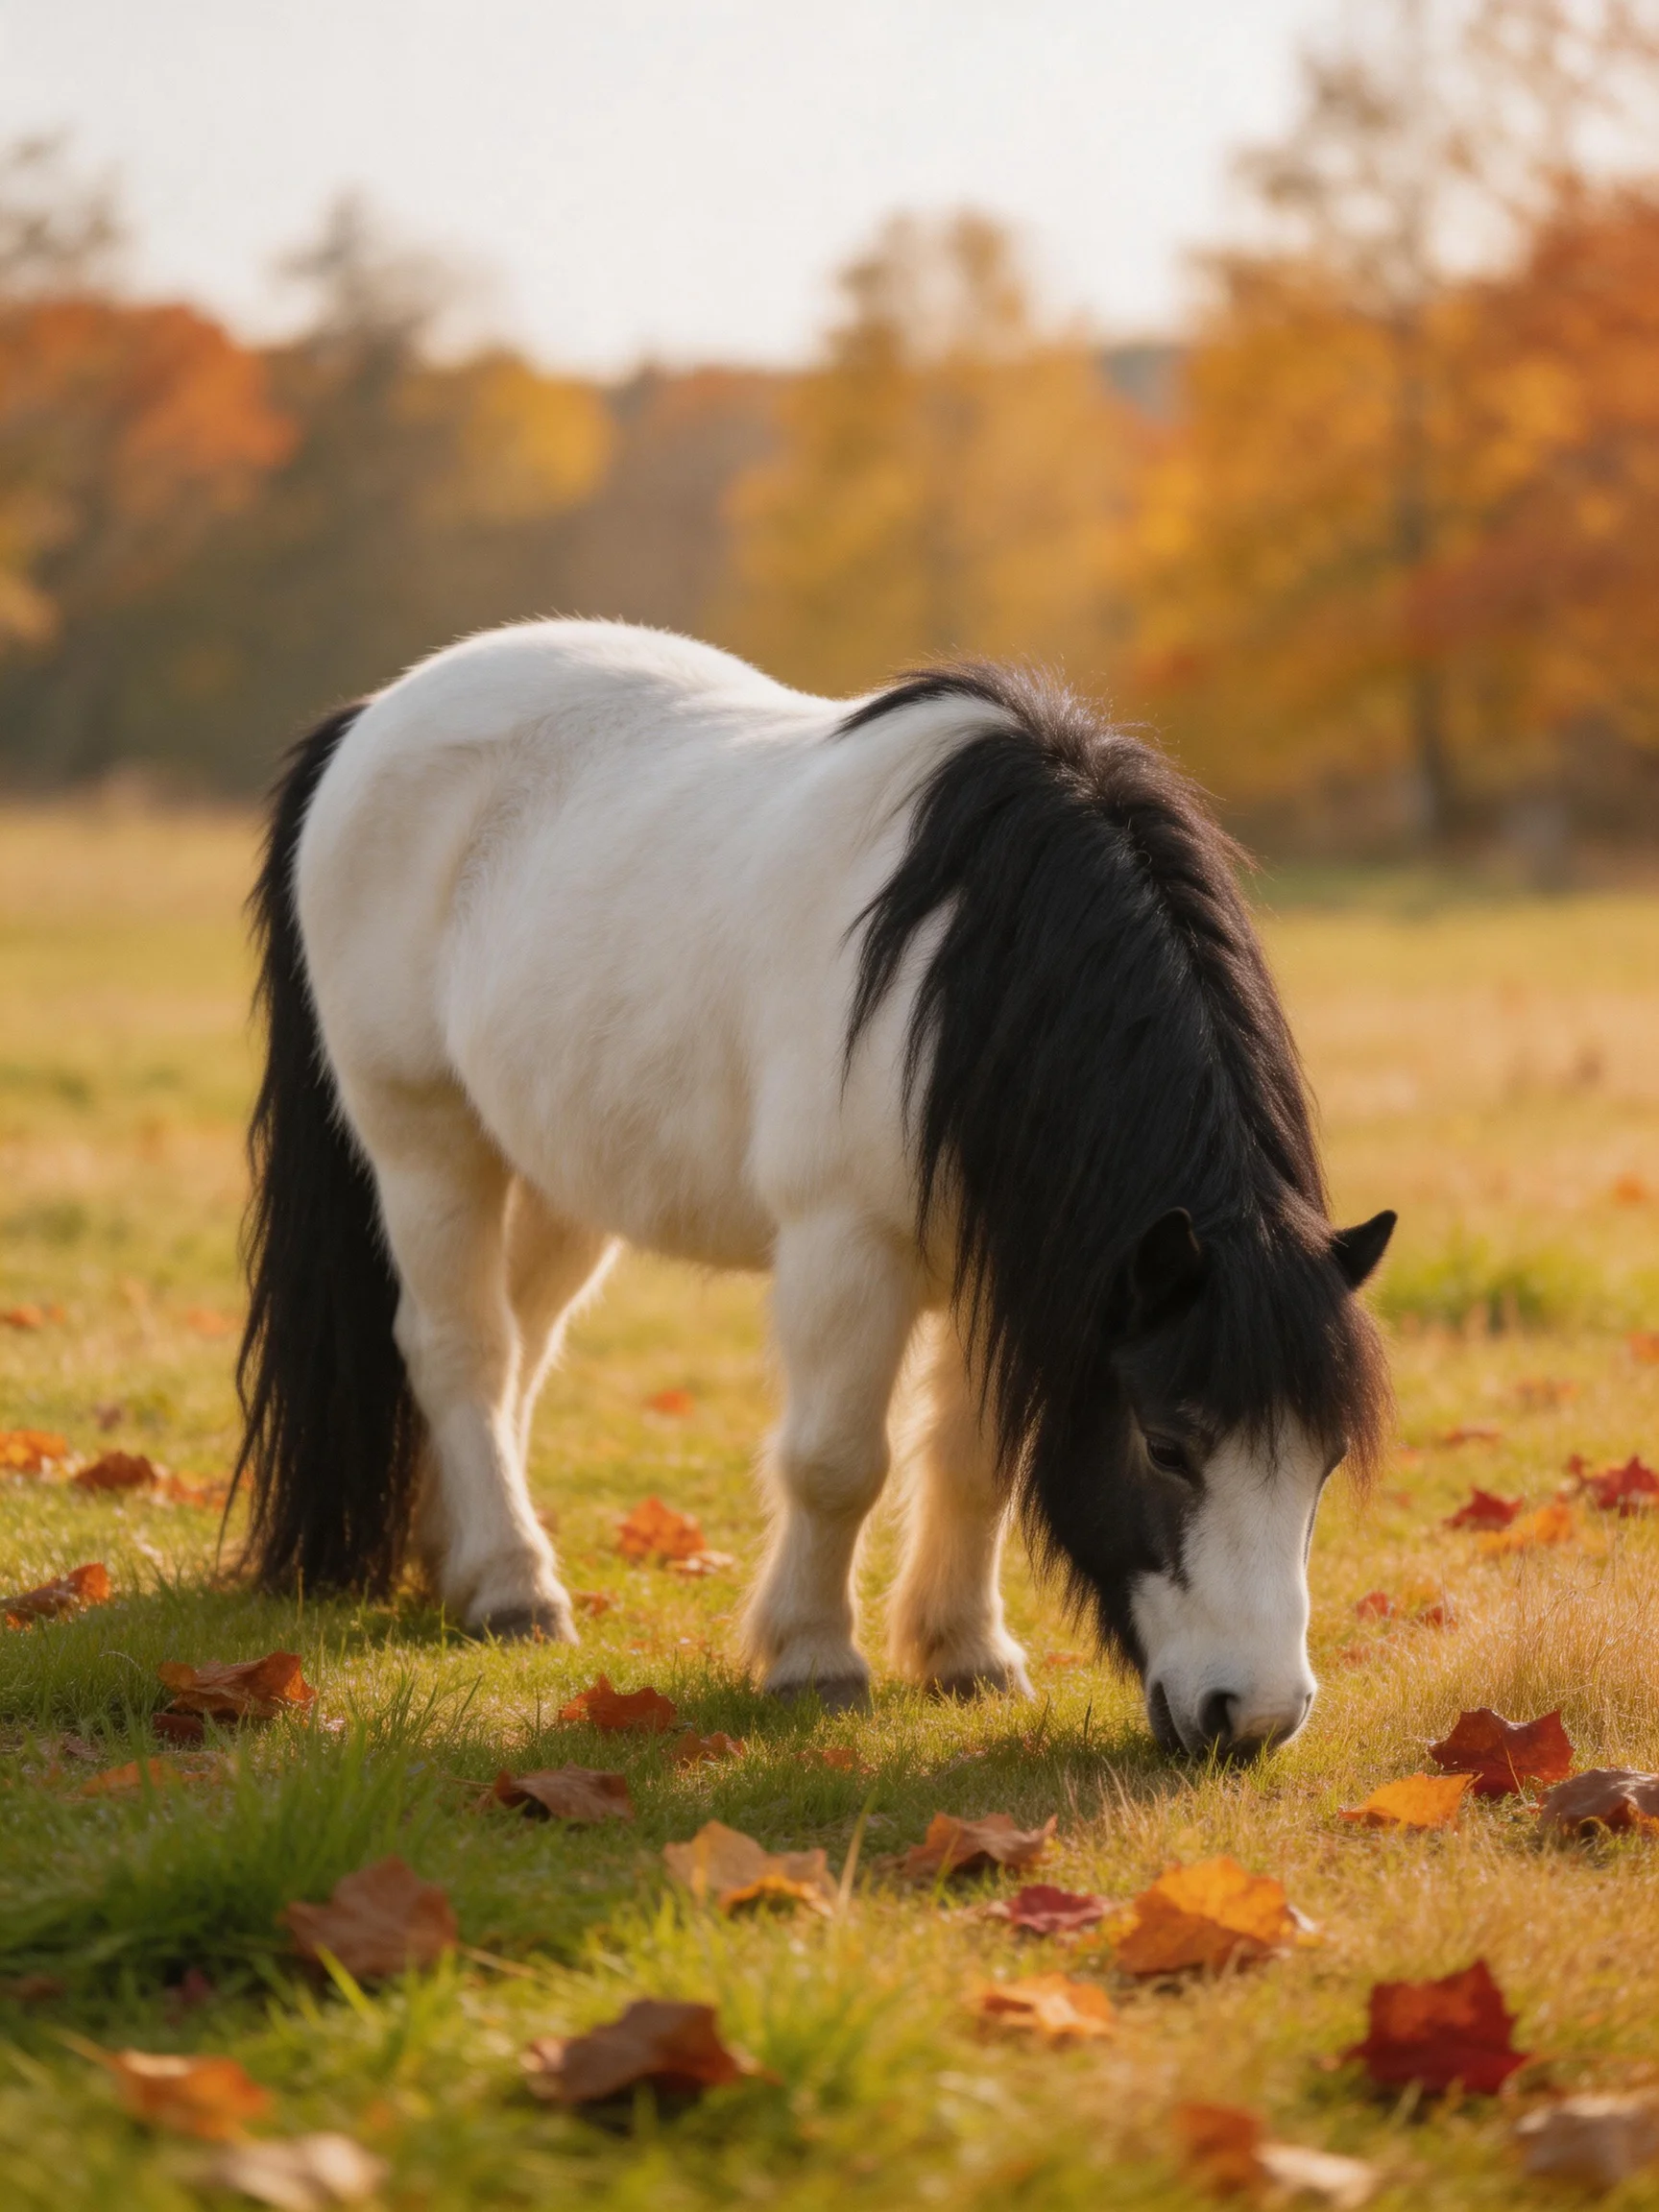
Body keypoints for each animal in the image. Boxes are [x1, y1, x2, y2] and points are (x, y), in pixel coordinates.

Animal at [234, 619, 1394, 1758]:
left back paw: (464, 1560)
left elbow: (974, 1459)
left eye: (1327, 1458)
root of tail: (373, 717)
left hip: (560, 1179)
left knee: (516, 1347)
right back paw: (516, 1588)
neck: (963, 958)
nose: (1255, 1719)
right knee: (458, 1348)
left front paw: (966, 1654)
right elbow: (837, 1463)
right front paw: (814, 1660)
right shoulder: (849, 1250)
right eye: (1166, 1445)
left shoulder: (1005, 1264)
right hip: (427, 1143)